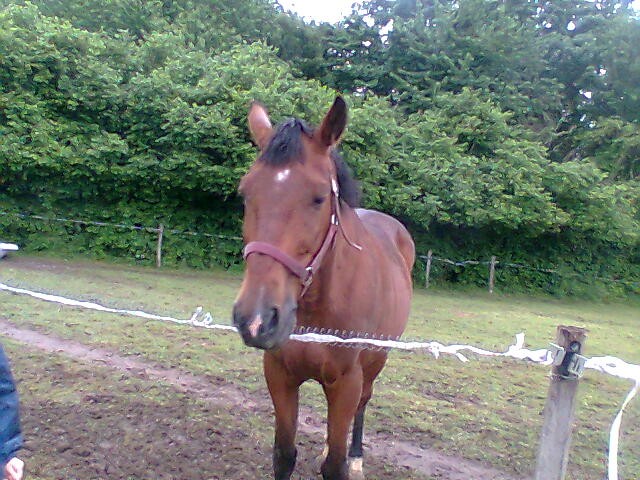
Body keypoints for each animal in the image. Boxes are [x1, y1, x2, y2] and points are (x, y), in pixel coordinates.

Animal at [232, 98, 412, 480]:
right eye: (245, 193)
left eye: (318, 198)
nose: (257, 319)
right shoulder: (279, 375)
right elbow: (284, 454)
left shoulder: (346, 383)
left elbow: (334, 467)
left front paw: (345, 458)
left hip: (377, 360)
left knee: (363, 405)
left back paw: (356, 455)